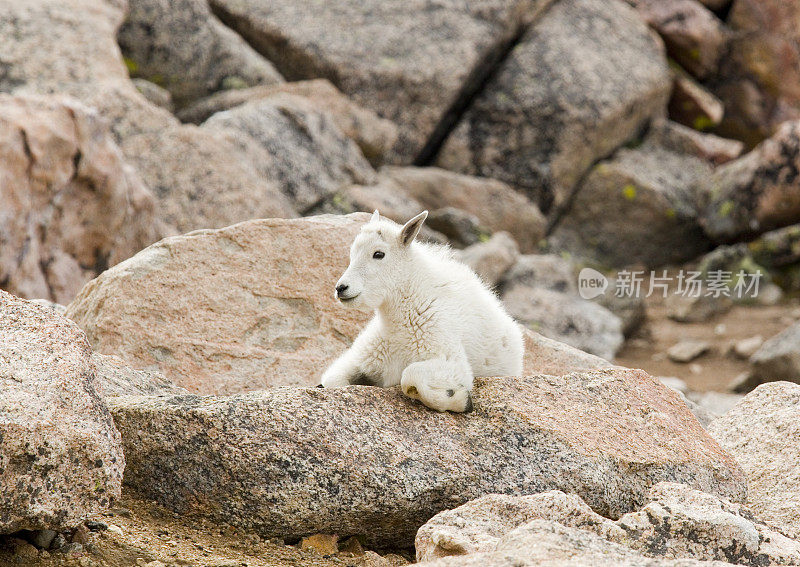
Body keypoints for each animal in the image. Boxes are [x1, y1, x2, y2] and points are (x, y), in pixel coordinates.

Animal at [320, 212, 524, 412]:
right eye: (352, 253)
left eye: (378, 254)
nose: (341, 288)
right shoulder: (361, 357)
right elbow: (332, 380)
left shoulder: (451, 361)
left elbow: (410, 376)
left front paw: (460, 399)